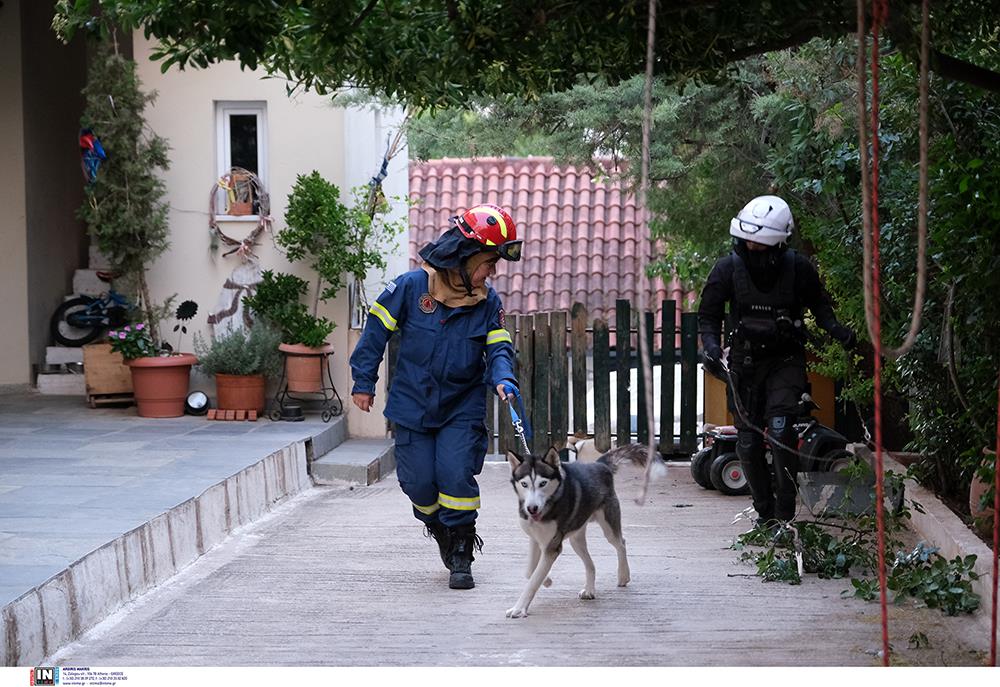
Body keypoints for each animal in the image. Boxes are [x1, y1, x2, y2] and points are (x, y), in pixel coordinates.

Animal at [508, 444, 648, 620]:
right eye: (525, 484)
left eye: (543, 483)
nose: (532, 508)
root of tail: (599, 464)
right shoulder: (535, 539)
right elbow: (530, 572)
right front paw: (547, 580)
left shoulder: (552, 547)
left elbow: (533, 580)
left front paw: (519, 608)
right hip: (576, 540)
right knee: (591, 564)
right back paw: (589, 590)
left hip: (608, 526)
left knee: (621, 543)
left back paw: (623, 575)